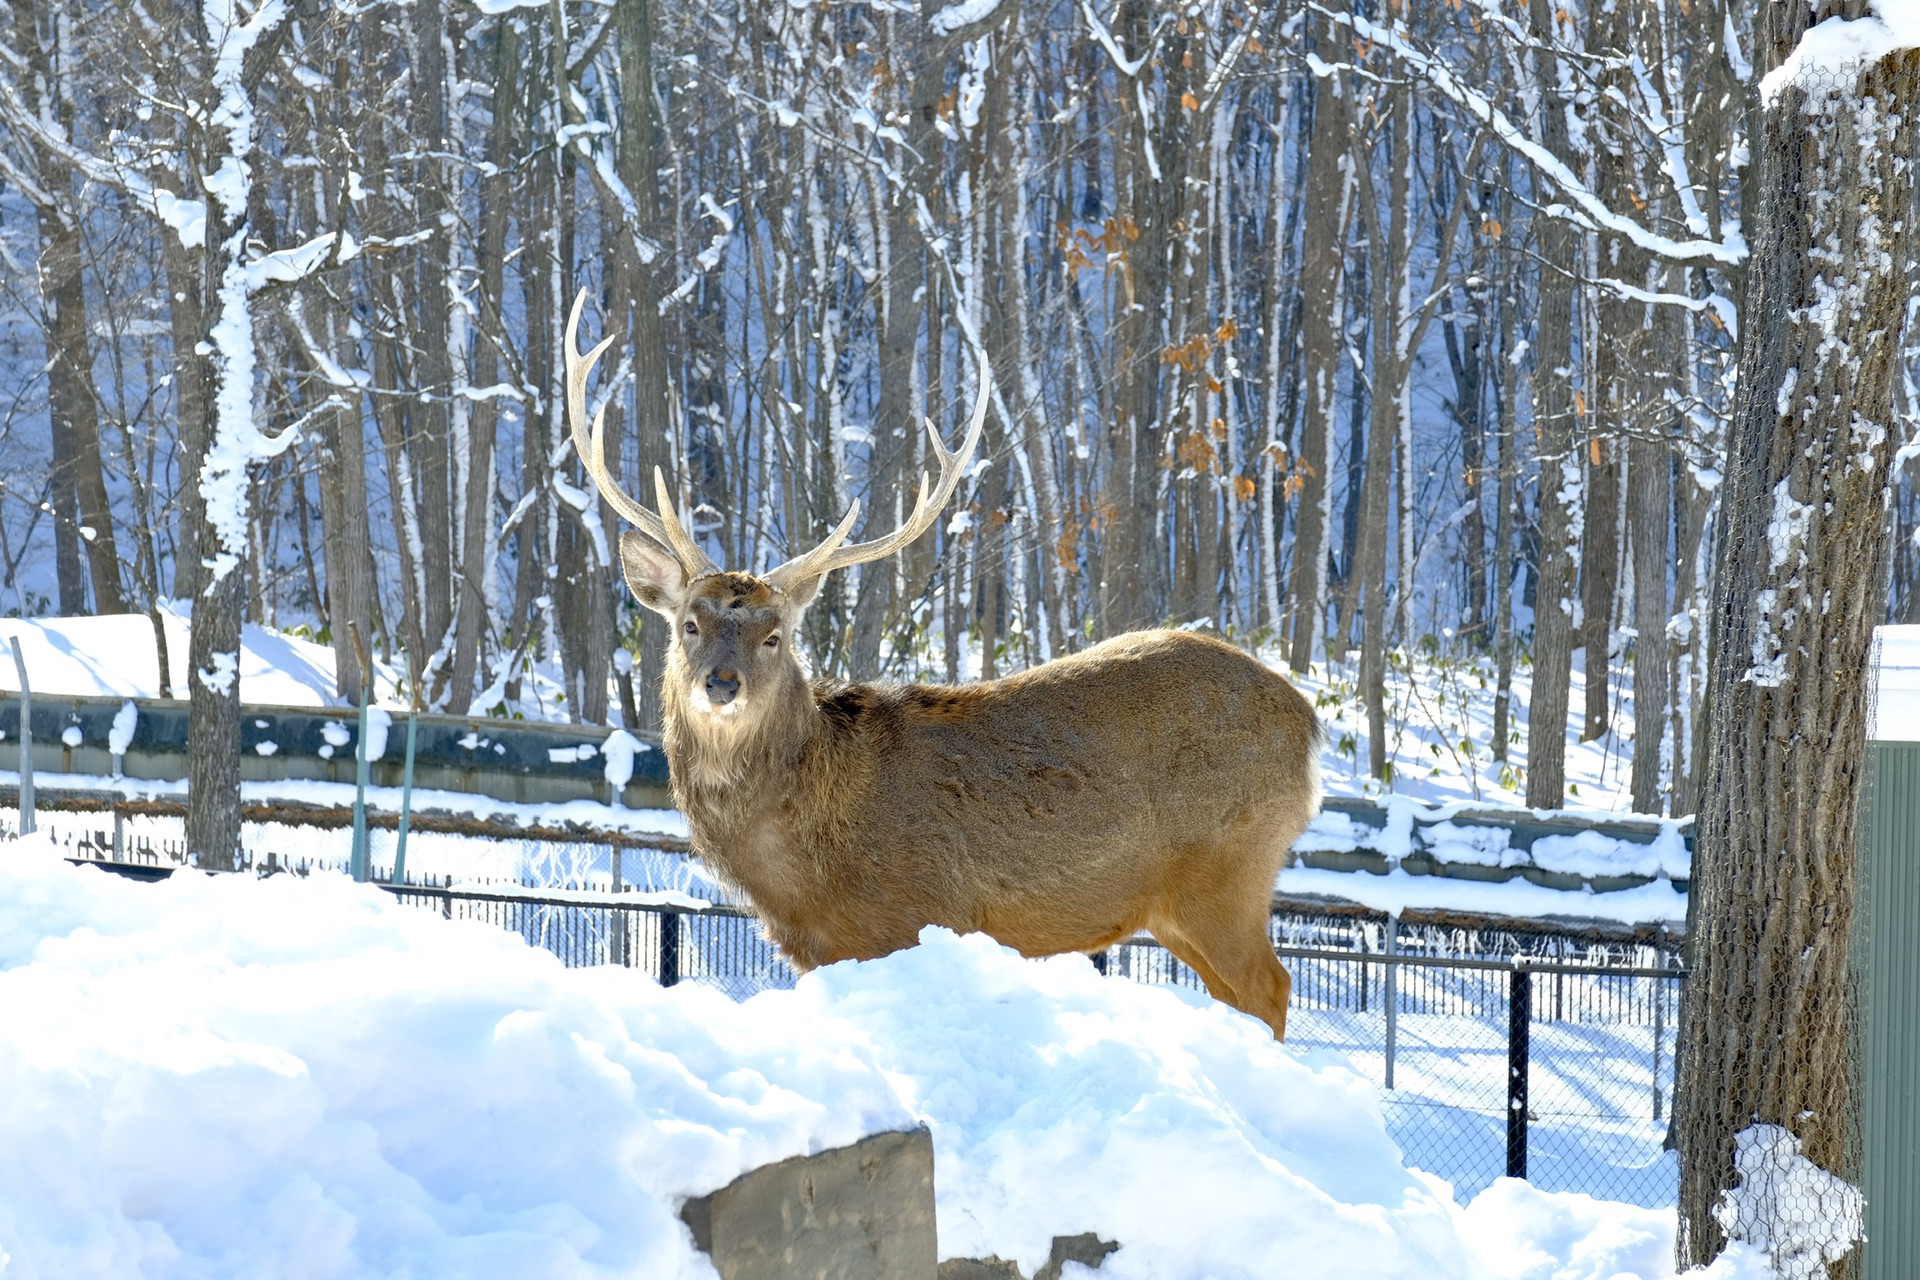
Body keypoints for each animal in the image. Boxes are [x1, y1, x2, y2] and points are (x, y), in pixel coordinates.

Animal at [560, 293, 1328, 1043]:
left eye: (775, 635)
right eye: (689, 625)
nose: (722, 683)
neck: (802, 865)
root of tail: (1308, 725)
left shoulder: (907, 922)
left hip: (1230, 867)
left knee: (1271, 988)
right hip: (1179, 905)